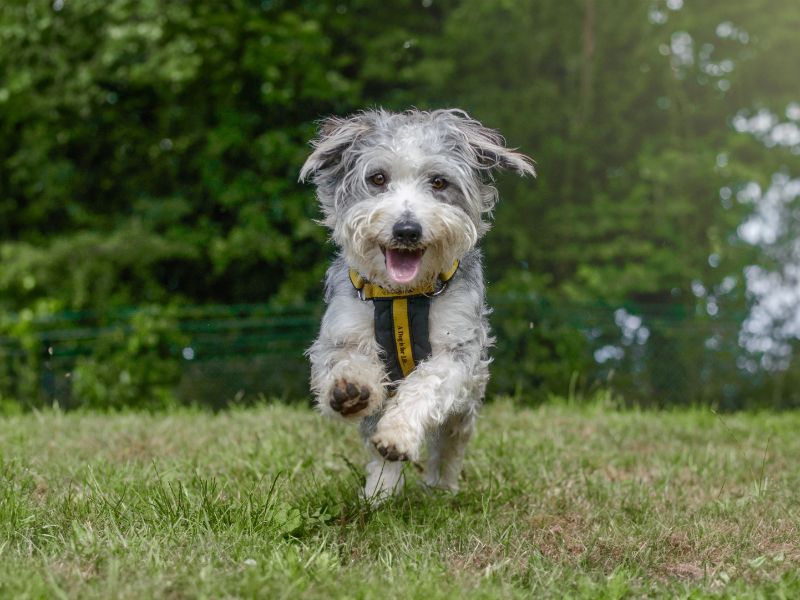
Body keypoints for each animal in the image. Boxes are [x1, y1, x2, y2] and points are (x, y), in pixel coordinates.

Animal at [296, 109, 536, 502]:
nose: (406, 230)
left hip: (465, 408)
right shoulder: (343, 329)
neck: (401, 297)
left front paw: (397, 435)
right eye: (378, 178)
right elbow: (345, 361)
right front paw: (349, 389)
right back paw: (380, 490)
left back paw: (440, 487)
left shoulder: (458, 347)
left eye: (439, 182)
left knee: (449, 441)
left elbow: (425, 386)